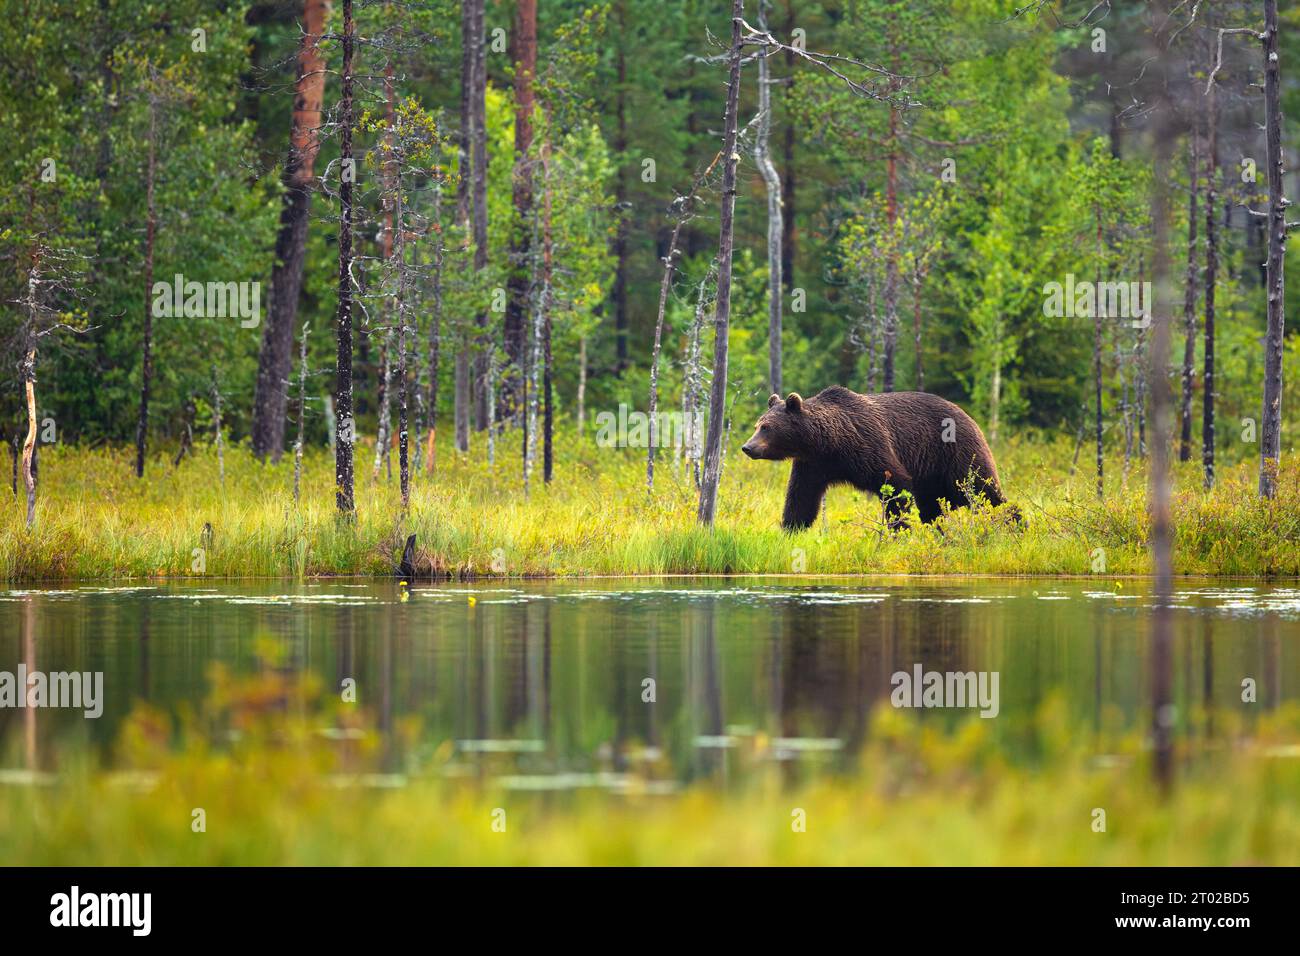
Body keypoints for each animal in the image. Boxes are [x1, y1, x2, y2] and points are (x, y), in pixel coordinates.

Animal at [743, 387, 1013, 530]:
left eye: (766, 427)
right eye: (758, 425)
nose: (747, 447)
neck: (828, 442)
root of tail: (969, 417)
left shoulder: (867, 445)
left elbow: (896, 484)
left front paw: (899, 529)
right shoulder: (814, 465)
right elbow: (801, 498)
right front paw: (790, 530)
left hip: (955, 454)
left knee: (983, 491)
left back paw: (1015, 524)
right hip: (931, 475)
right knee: (933, 507)